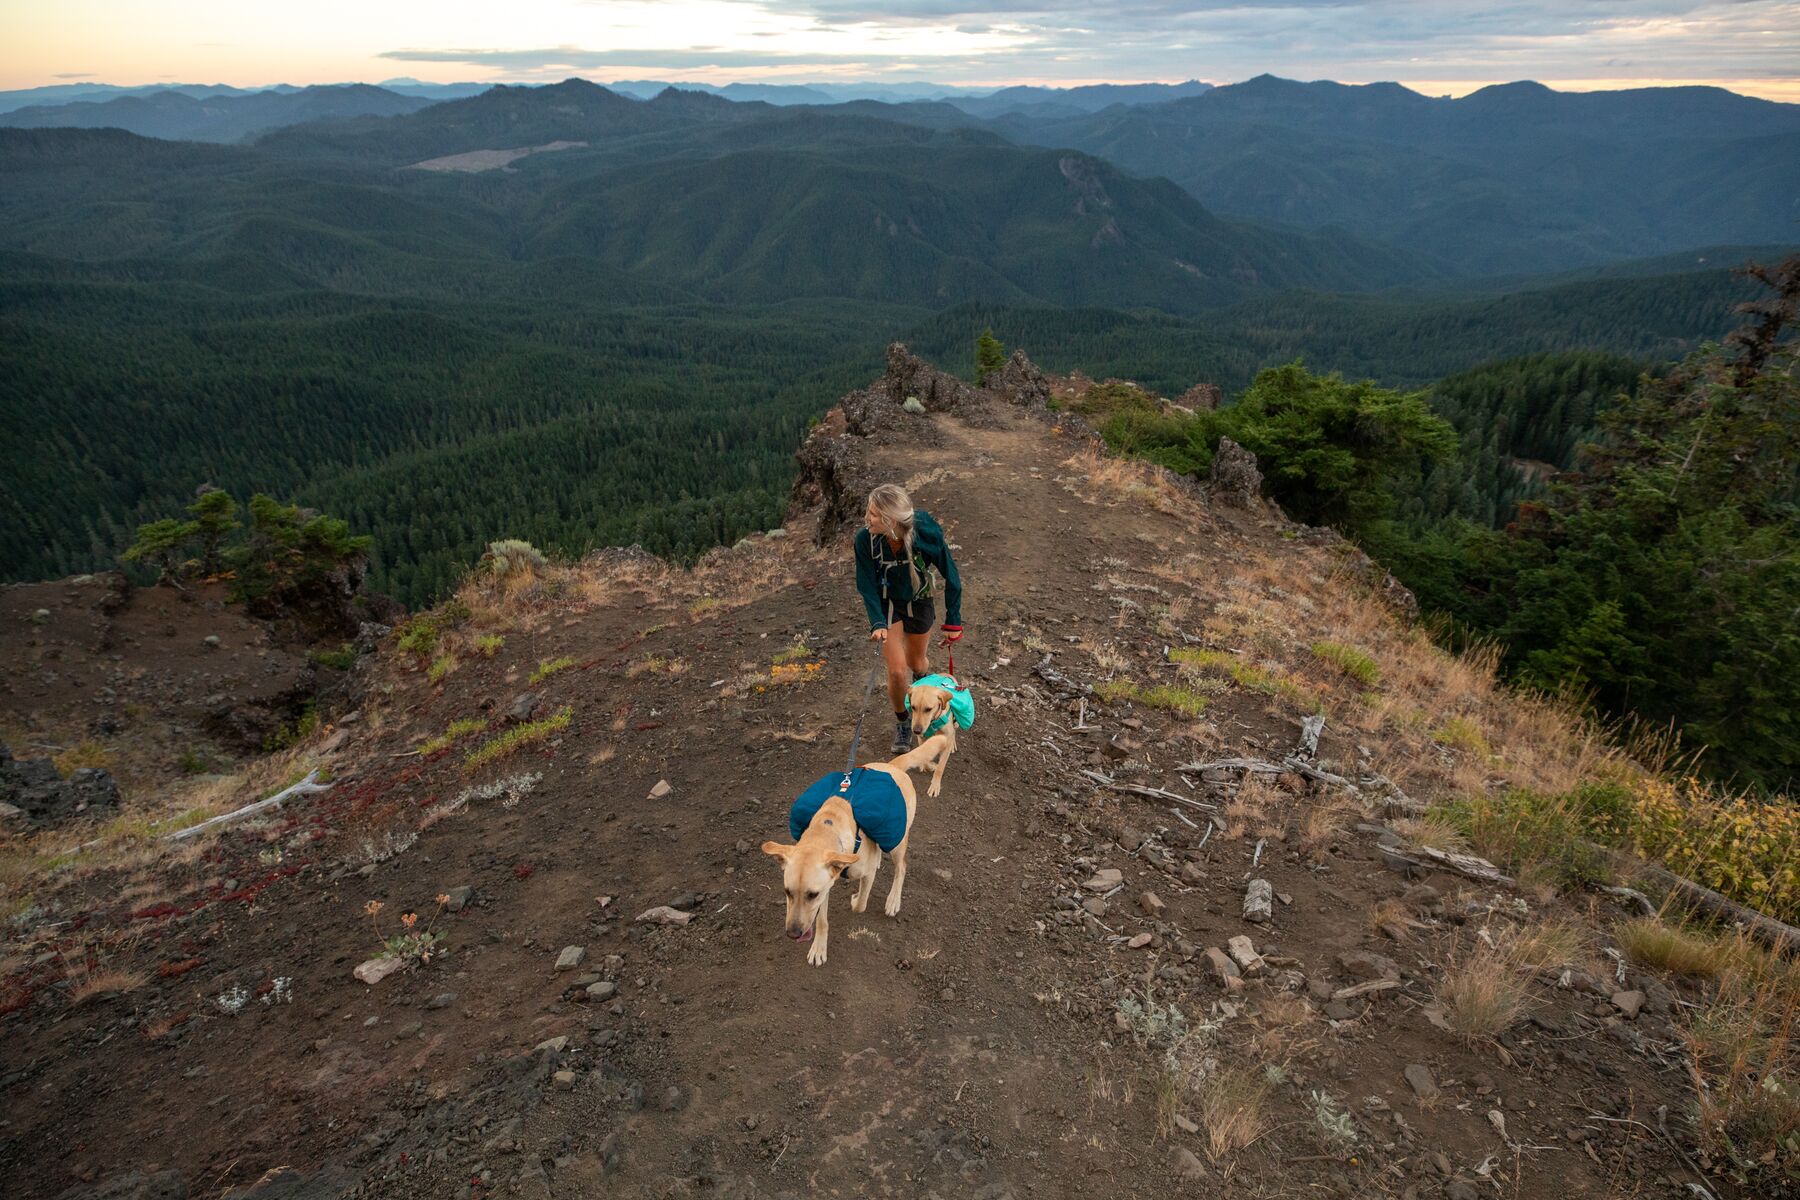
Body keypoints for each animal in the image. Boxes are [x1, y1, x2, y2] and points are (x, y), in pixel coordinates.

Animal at [763, 734, 950, 964]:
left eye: (812, 895)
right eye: (787, 892)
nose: (793, 934)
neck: (827, 827)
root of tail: (892, 766)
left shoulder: (854, 878)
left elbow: (861, 903)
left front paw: (855, 901)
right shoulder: (828, 883)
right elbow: (822, 920)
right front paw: (818, 948)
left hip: (896, 841)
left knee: (902, 867)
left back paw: (893, 900)